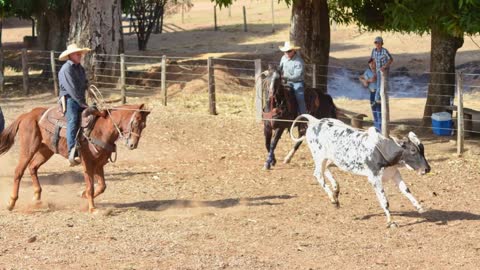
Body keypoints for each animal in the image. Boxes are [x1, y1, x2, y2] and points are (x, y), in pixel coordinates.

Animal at [0, 104, 150, 212]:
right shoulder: (88, 163)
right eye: (135, 123)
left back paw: (36, 197)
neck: (101, 129)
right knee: (19, 171)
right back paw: (11, 202)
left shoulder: (99, 164)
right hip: (28, 148)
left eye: (144, 125)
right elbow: (91, 187)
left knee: (32, 167)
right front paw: (92, 208)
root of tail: (27, 114)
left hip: (45, 150)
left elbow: (102, 186)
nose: (133, 145)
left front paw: (82, 194)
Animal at [290, 114, 434, 228]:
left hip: (331, 159)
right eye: (413, 150)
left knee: (326, 170)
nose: (427, 169)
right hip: (319, 157)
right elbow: (384, 200)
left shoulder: (394, 173)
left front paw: (420, 207)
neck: (381, 149)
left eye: (422, 148)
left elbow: (406, 191)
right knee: (318, 175)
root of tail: (315, 121)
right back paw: (333, 198)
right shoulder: (375, 178)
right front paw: (391, 222)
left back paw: (336, 190)